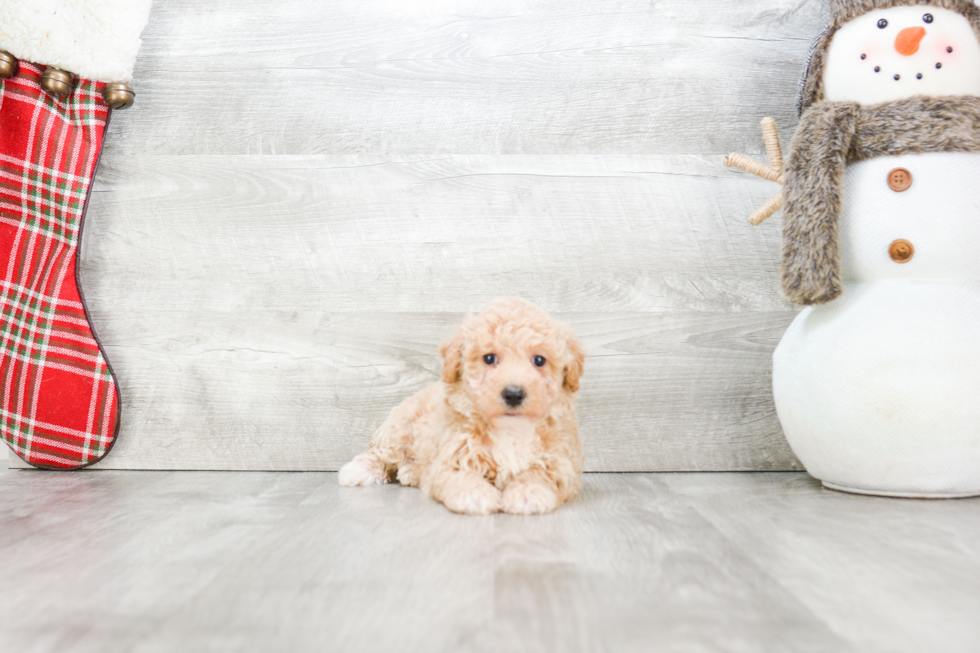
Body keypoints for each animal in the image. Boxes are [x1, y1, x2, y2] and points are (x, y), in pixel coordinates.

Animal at [338, 296, 580, 516]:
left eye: (539, 360)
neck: (509, 430)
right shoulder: (452, 453)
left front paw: (528, 493)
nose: (513, 394)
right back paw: (357, 470)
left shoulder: (560, 460)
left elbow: (540, 474)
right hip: (400, 427)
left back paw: (410, 471)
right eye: (489, 358)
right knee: (381, 454)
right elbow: (461, 475)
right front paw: (474, 495)